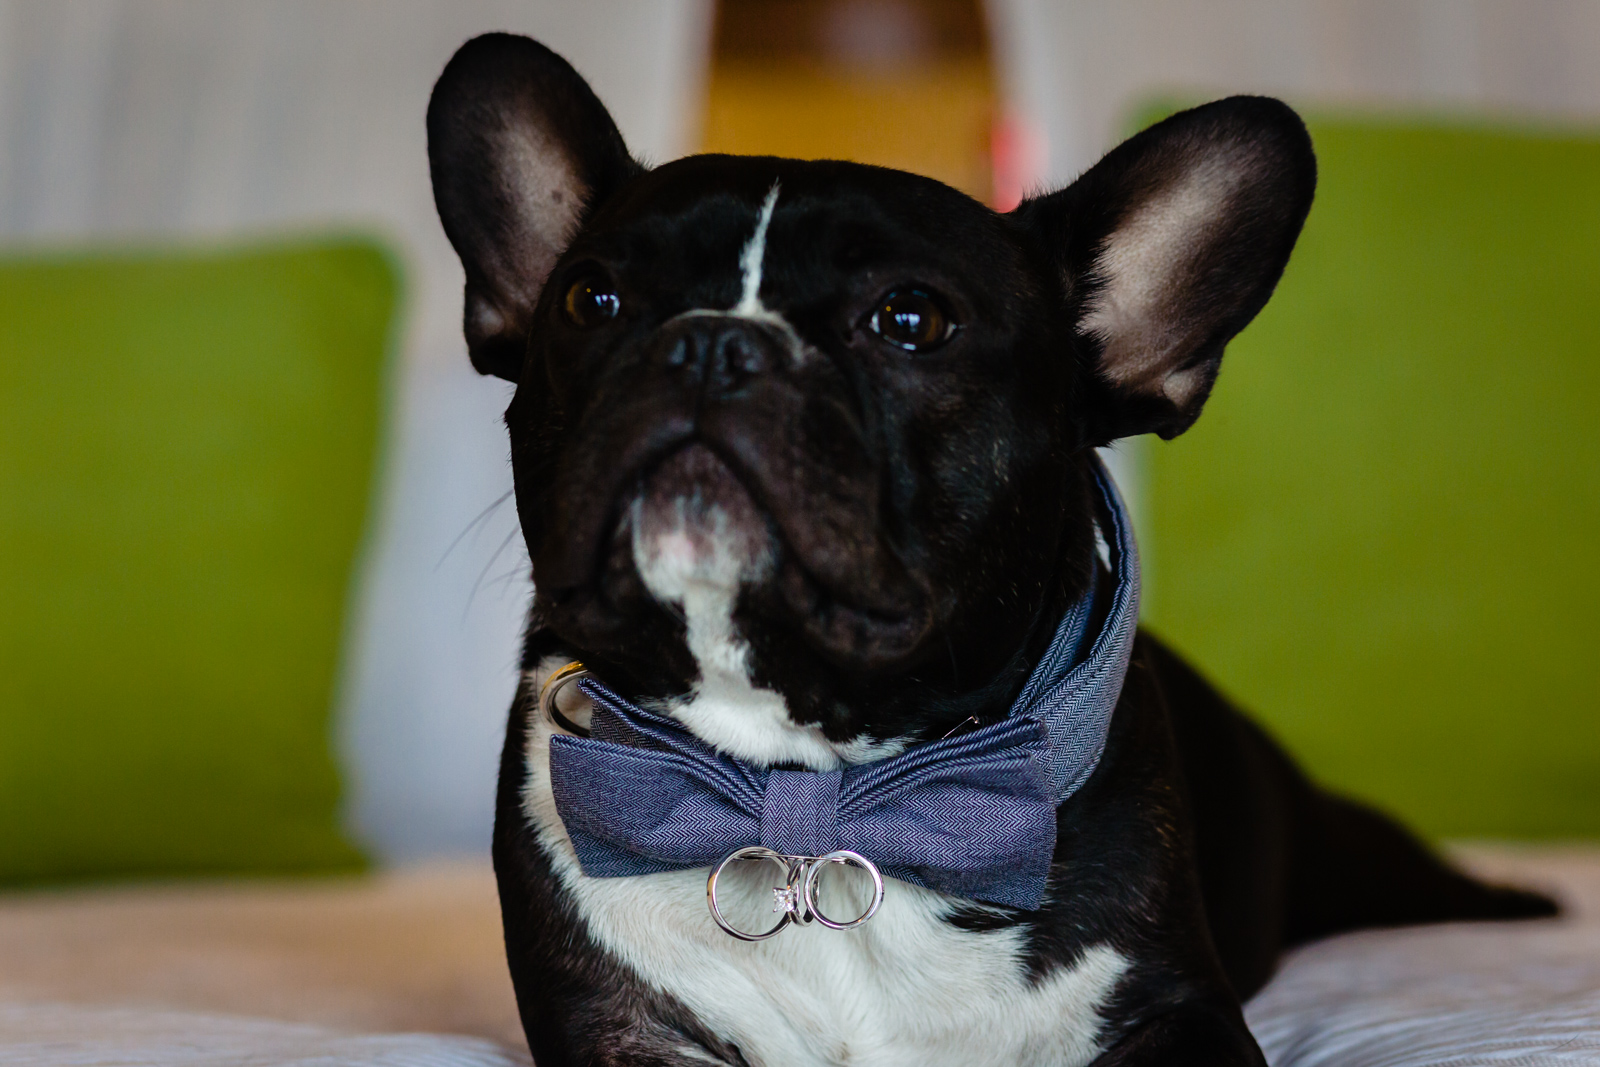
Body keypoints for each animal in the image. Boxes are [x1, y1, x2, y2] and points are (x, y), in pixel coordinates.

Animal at [425, 33, 1548, 1067]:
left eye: (911, 319)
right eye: (590, 300)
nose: (708, 341)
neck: (819, 797)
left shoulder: (1176, 1010)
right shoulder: (617, 1029)